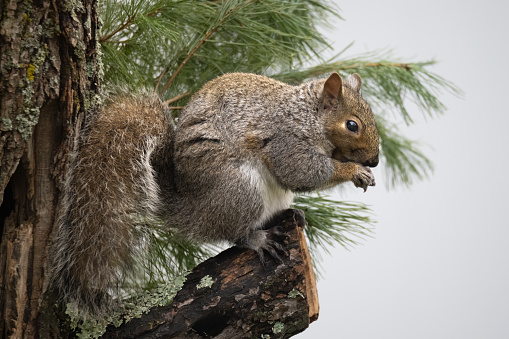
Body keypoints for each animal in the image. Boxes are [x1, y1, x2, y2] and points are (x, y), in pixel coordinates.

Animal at [49, 72, 380, 316]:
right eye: (352, 125)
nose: (375, 160)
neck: (307, 116)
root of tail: (192, 209)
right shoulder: (285, 141)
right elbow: (300, 172)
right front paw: (354, 171)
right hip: (241, 191)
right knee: (235, 234)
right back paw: (258, 239)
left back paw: (289, 213)